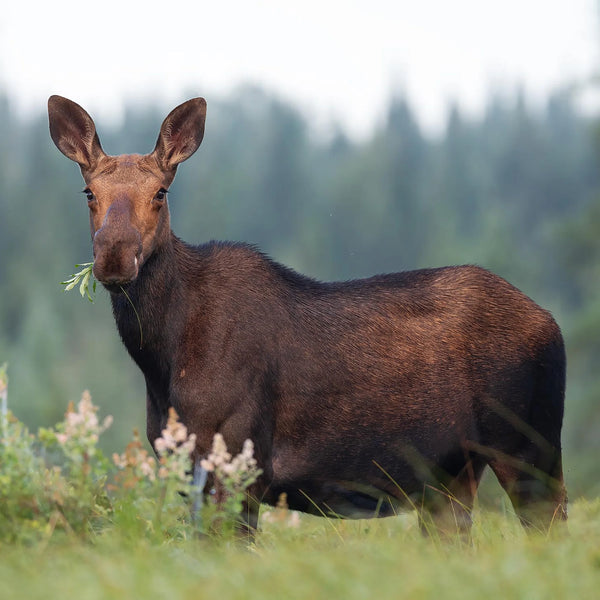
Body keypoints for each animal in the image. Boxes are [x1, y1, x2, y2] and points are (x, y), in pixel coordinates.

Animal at [48, 96, 568, 536]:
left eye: (160, 192)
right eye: (88, 192)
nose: (115, 256)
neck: (161, 360)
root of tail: (550, 323)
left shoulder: (240, 465)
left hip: (529, 445)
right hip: (451, 475)